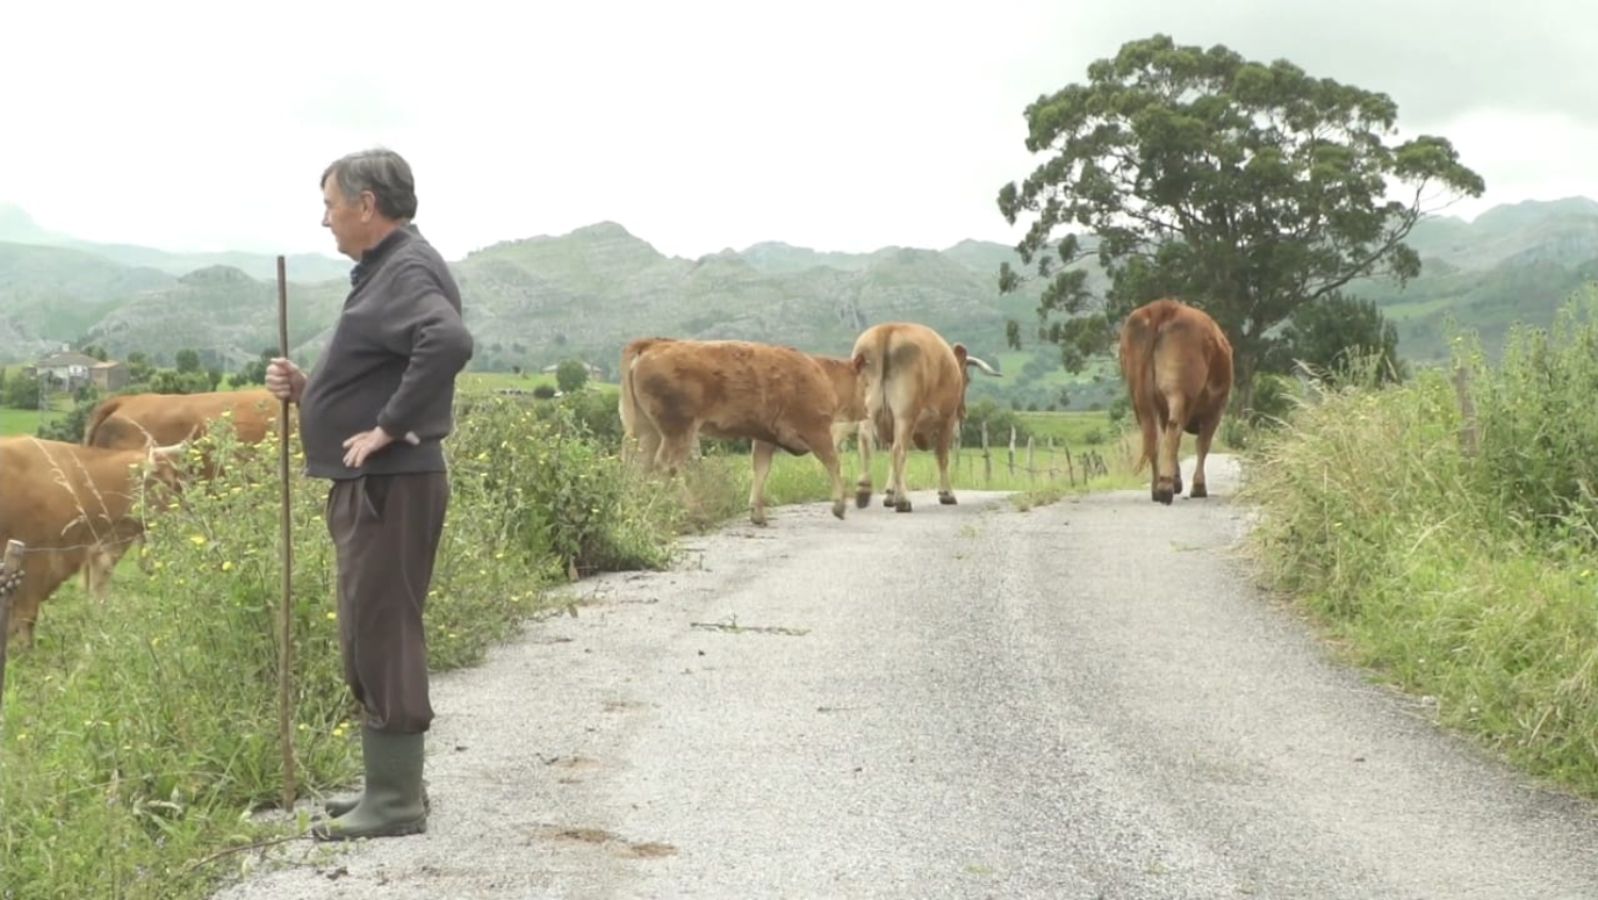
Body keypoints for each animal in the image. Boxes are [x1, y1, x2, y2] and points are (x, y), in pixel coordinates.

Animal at [850, 322, 997, 514]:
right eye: (967, 379)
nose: (964, 412)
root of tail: (888, 329)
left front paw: (890, 494)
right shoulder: (947, 419)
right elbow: (942, 455)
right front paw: (946, 493)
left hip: (869, 410)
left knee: (867, 443)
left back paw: (863, 491)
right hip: (906, 413)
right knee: (899, 450)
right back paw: (903, 501)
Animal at [1112, 297, 1233, 505]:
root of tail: (1165, 306)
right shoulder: (1216, 410)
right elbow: (1203, 444)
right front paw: (1198, 487)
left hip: (1140, 395)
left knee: (1152, 435)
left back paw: (1156, 486)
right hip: (1179, 391)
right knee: (1173, 429)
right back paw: (1165, 487)